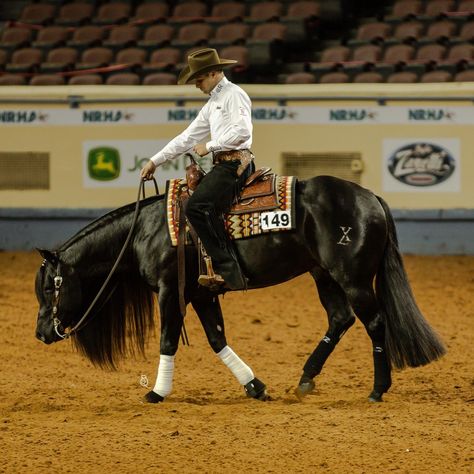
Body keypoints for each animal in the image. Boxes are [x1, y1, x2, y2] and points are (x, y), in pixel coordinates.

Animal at [35, 176, 446, 406]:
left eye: (51, 289)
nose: (41, 333)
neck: (148, 230)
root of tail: (370, 197)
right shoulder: (201, 294)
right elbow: (218, 339)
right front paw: (255, 386)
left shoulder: (170, 291)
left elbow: (168, 339)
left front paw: (157, 393)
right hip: (324, 275)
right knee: (340, 319)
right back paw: (306, 379)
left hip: (354, 279)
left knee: (374, 323)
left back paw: (377, 389)